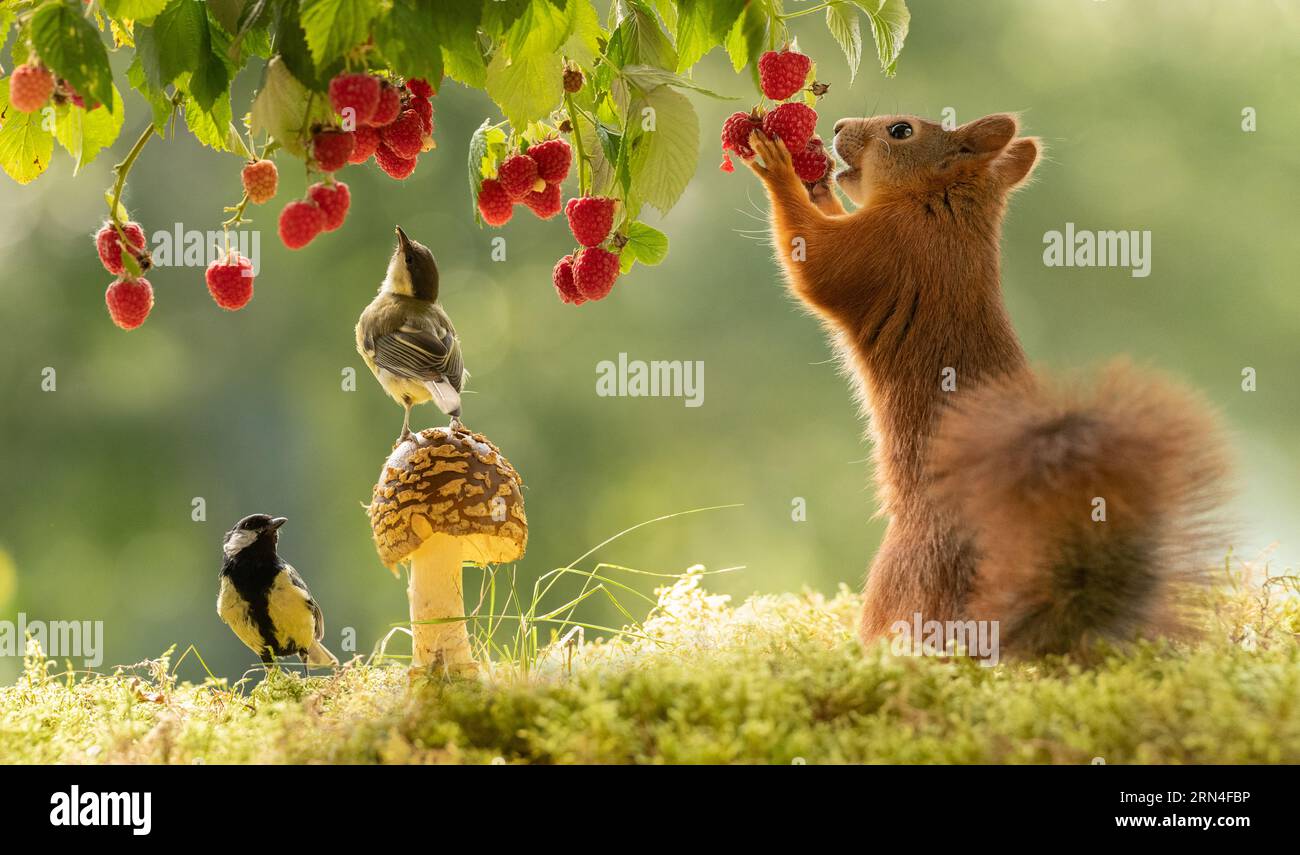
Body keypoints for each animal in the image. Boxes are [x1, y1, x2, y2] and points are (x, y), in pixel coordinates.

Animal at [744, 114, 1231, 657]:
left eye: (901, 131)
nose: (839, 125)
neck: (941, 206)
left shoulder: (883, 249)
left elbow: (813, 261)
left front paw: (777, 166)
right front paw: (817, 183)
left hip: (904, 569)